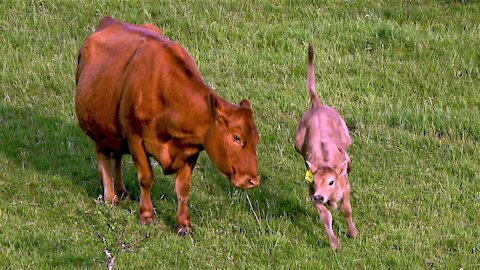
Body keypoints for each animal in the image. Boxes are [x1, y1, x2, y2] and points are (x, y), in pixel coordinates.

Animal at [75, 16, 260, 235]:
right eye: (236, 137)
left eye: (256, 140)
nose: (252, 180)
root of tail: (109, 21)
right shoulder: (134, 137)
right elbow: (146, 178)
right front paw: (147, 215)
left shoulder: (192, 148)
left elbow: (183, 188)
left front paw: (183, 224)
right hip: (99, 127)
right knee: (103, 156)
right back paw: (111, 197)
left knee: (117, 156)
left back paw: (122, 192)